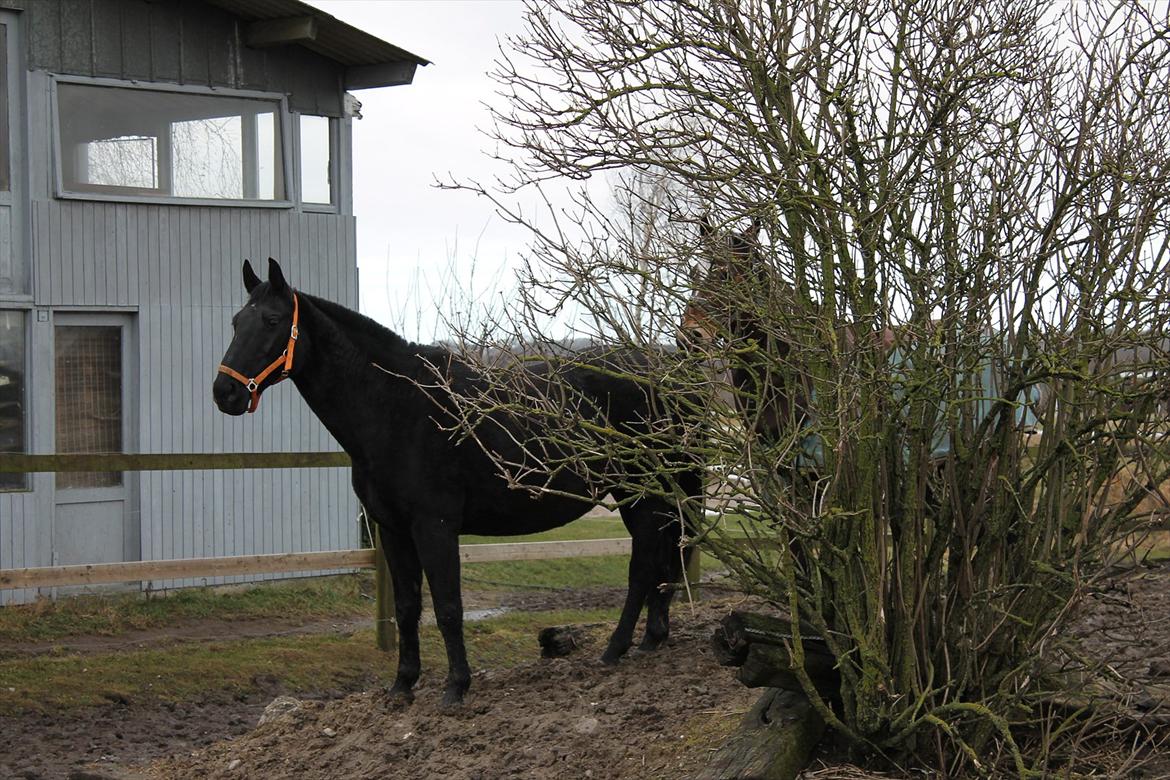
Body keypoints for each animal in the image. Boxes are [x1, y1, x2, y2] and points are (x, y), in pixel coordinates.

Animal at [215, 257, 697, 706]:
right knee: (665, 556)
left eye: (272, 321)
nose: (225, 393)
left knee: (643, 567)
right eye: (237, 321)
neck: (397, 407)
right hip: (652, 494)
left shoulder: (435, 526)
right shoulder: (392, 530)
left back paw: (616, 649)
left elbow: (447, 607)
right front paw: (402, 686)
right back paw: (651, 639)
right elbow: (408, 607)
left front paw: (455, 688)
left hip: (642, 494)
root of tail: (673, 375)